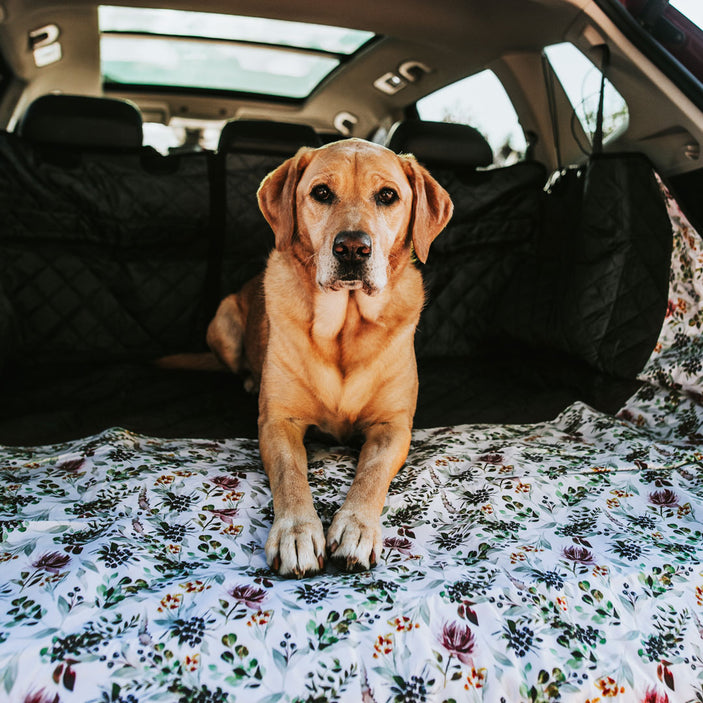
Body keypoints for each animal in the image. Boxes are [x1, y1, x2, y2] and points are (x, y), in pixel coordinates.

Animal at [197, 139, 452, 576]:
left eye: (388, 196)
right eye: (321, 193)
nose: (352, 248)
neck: (344, 327)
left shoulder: (394, 427)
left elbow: (371, 473)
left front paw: (357, 527)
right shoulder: (278, 422)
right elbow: (290, 474)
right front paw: (297, 532)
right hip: (223, 319)